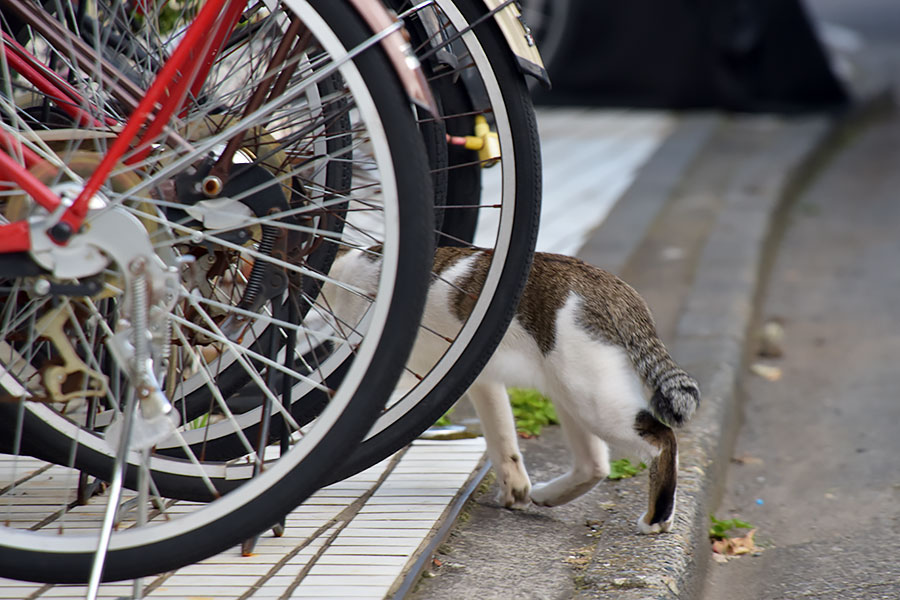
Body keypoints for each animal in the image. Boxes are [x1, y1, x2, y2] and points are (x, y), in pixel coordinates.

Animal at [324, 246, 704, 532]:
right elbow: (502, 436)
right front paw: (515, 490)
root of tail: (615, 288)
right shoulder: (483, 378)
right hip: (571, 390)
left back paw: (656, 519)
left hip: (592, 399)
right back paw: (547, 495)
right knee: (594, 464)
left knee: (661, 439)